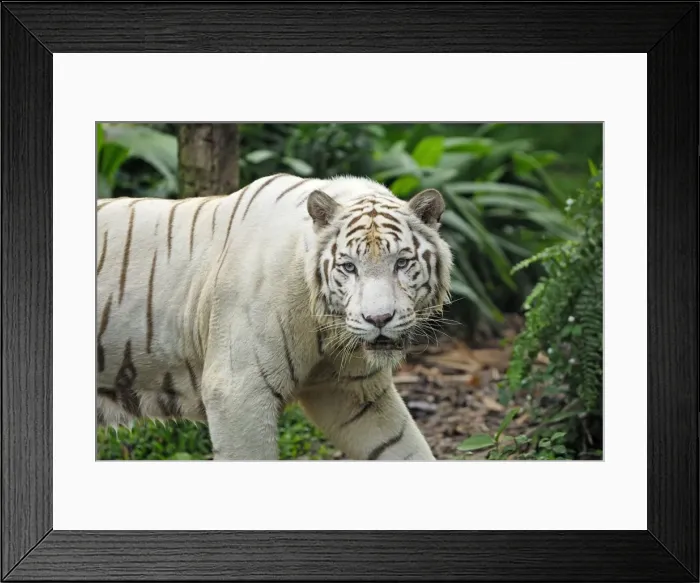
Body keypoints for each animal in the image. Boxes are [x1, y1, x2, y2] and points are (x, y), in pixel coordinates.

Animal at [96, 172, 453, 460]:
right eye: (349, 266)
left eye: (402, 263)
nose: (379, 319)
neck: (325, 329)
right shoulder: (238, 393)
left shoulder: (358, 395)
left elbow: (406, 449)